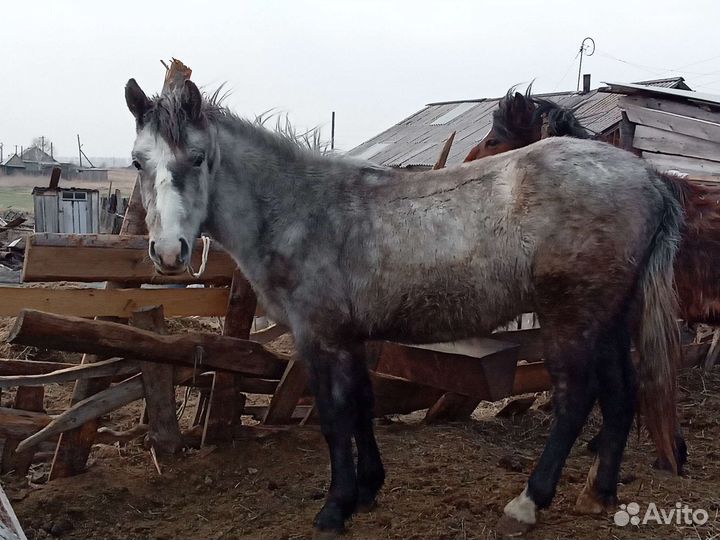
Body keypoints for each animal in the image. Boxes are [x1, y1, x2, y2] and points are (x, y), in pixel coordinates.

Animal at [125, 77, 683, 538]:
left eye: (198, 158)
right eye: (137, 161)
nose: (169, 252)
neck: (302, 210)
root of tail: (650, 178)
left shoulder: (319, 336)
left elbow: (334, 415)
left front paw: (335, 508)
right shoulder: (351, 337)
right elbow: (362, 405)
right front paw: (367, 489)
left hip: (570, 317)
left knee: (575, 397)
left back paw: (528, 503)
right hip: (608, 317)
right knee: (621, 392)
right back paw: (598, 493)